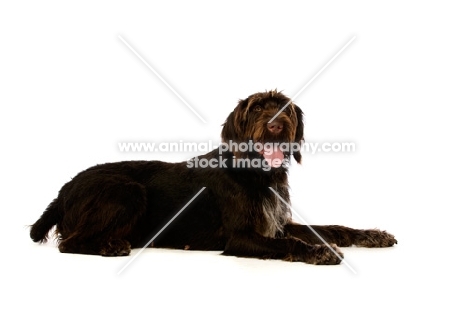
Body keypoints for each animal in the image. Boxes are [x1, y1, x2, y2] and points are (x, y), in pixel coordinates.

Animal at [29, 89, 396, 264]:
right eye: (257, 109)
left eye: (286, 108)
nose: (276, 124)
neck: (258, 175)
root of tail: (63, 189)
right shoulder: (242, 237)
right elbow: (292, 243)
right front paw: (320, 252)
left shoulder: (278, 224)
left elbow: (330, 228)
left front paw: (371, 235)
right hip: (128, 190)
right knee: (70, 243)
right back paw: (109, 246)